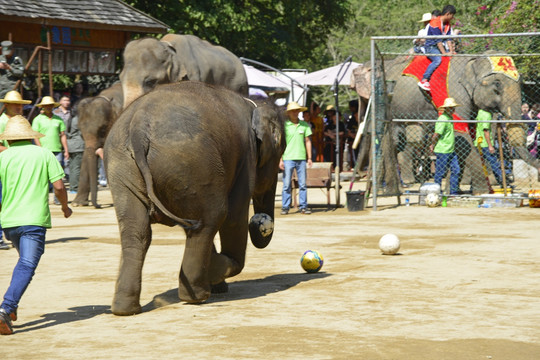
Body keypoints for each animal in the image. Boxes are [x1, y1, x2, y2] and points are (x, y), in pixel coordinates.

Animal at [103, 81, 284, 316]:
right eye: (281, 151)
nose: (260, 223)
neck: (253, 104)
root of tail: (138, 127)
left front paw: (218, 283)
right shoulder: (246, 156)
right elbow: (235, 216)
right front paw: (217, 277)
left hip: (122, 167)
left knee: (136, 232)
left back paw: (125, 309)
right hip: (194, 164)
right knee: (210, 219)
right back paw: (196, 296)